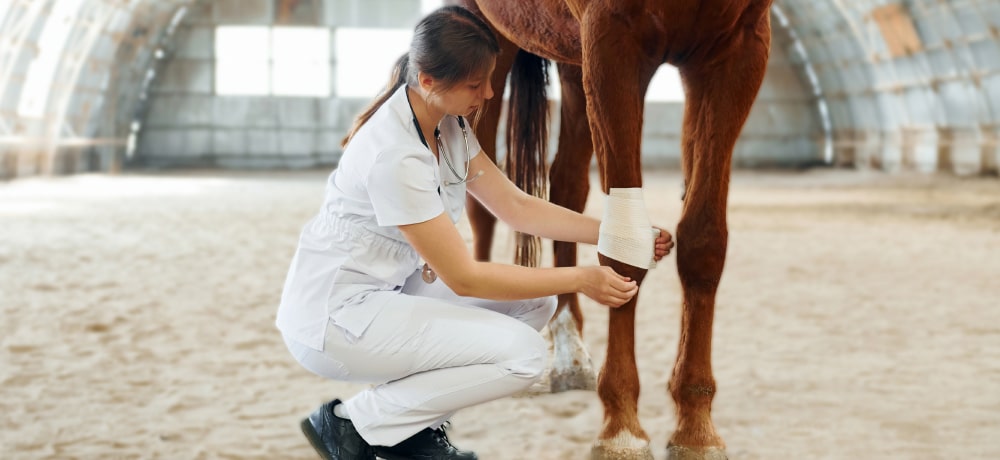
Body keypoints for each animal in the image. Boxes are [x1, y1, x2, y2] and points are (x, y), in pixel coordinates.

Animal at [454, 0, 772, 460]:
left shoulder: (738, 50)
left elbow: (703, 240)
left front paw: (696, 428)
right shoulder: (612, 40)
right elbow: (626, 250)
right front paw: (622, 428)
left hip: (572, 61)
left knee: (566, 184)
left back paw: (569, 353)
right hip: (488, 38)